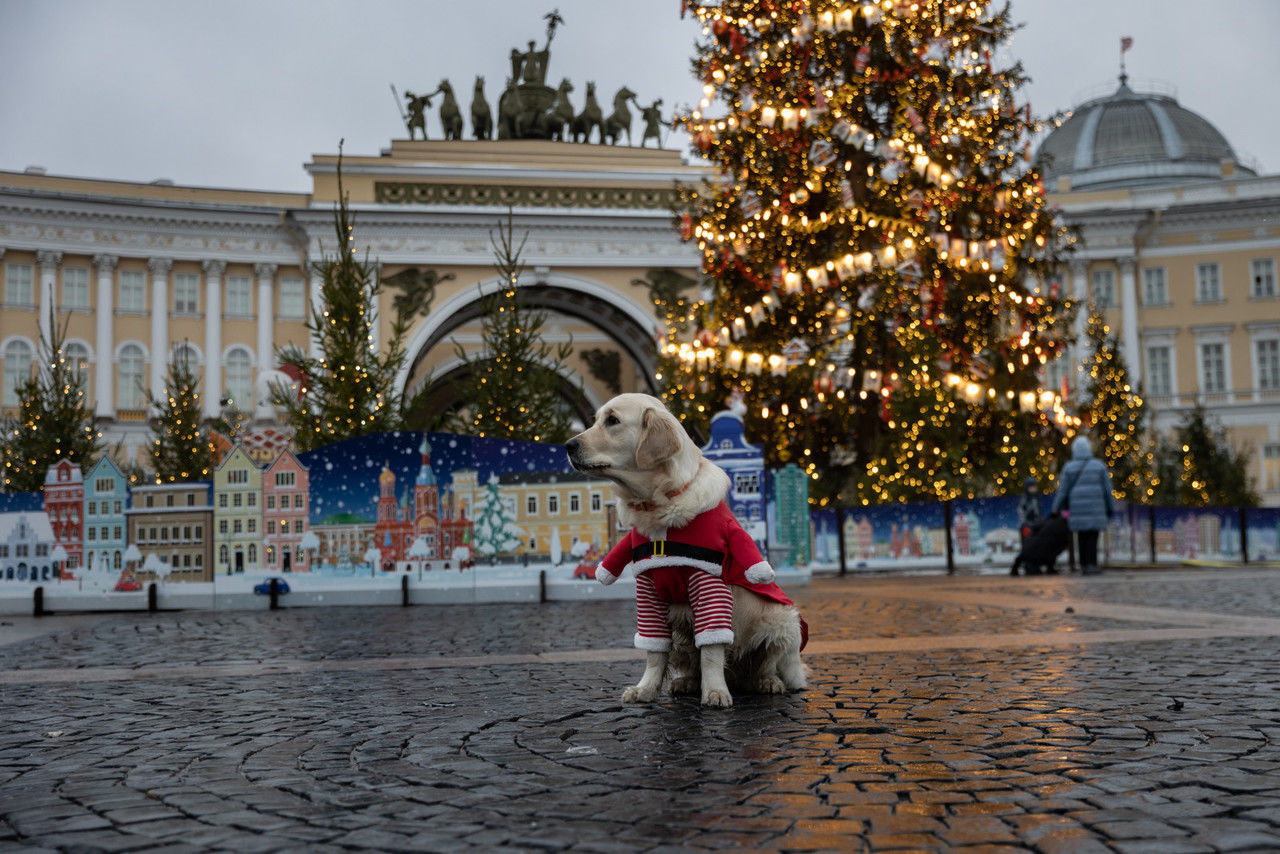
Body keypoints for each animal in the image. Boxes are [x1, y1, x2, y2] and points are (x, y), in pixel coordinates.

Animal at [565, 394, 803, 706]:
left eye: (613, 420)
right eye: (595, 420)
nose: (568, 445)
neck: (660, 504)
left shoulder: (709, 584)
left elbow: (711, 651)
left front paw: (715, 691)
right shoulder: (648, 590)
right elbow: (654, 652)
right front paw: (646, 689)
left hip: (781, 620)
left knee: (765, 663)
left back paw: (767, 682)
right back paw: (687, 682)